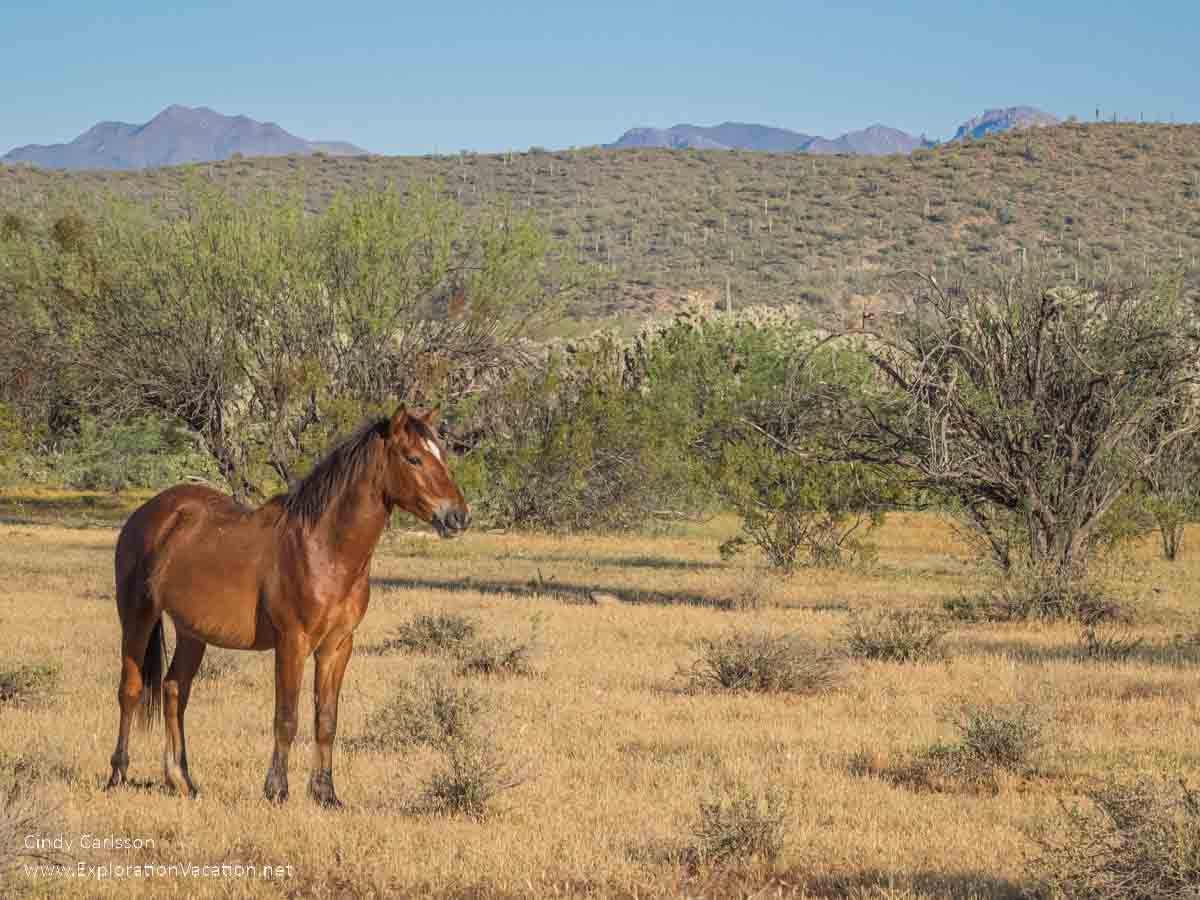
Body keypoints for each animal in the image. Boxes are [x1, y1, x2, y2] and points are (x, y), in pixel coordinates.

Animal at [105, 408, 468, 811]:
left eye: (443, 455)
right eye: (413, 458)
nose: (458, 516)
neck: (323, 548)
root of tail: (148, 513)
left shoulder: (337, 646)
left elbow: (326, 720)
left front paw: (325, 793)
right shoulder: (292, 642)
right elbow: (287, 718)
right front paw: (276, 790)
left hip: (191, 633)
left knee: (174, 691)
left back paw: (181, 780)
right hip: (137, 616)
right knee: (130, 690)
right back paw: (118, 775)